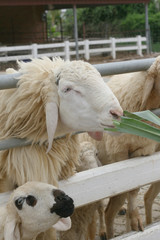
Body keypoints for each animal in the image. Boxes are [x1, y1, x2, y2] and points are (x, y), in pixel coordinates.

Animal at [79, 55, 160, 238]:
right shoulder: (118, 152)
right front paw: (135, 218)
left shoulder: (142, 151)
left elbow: (134, 188)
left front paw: (135, 219)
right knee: (104, 211)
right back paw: (105, 232)